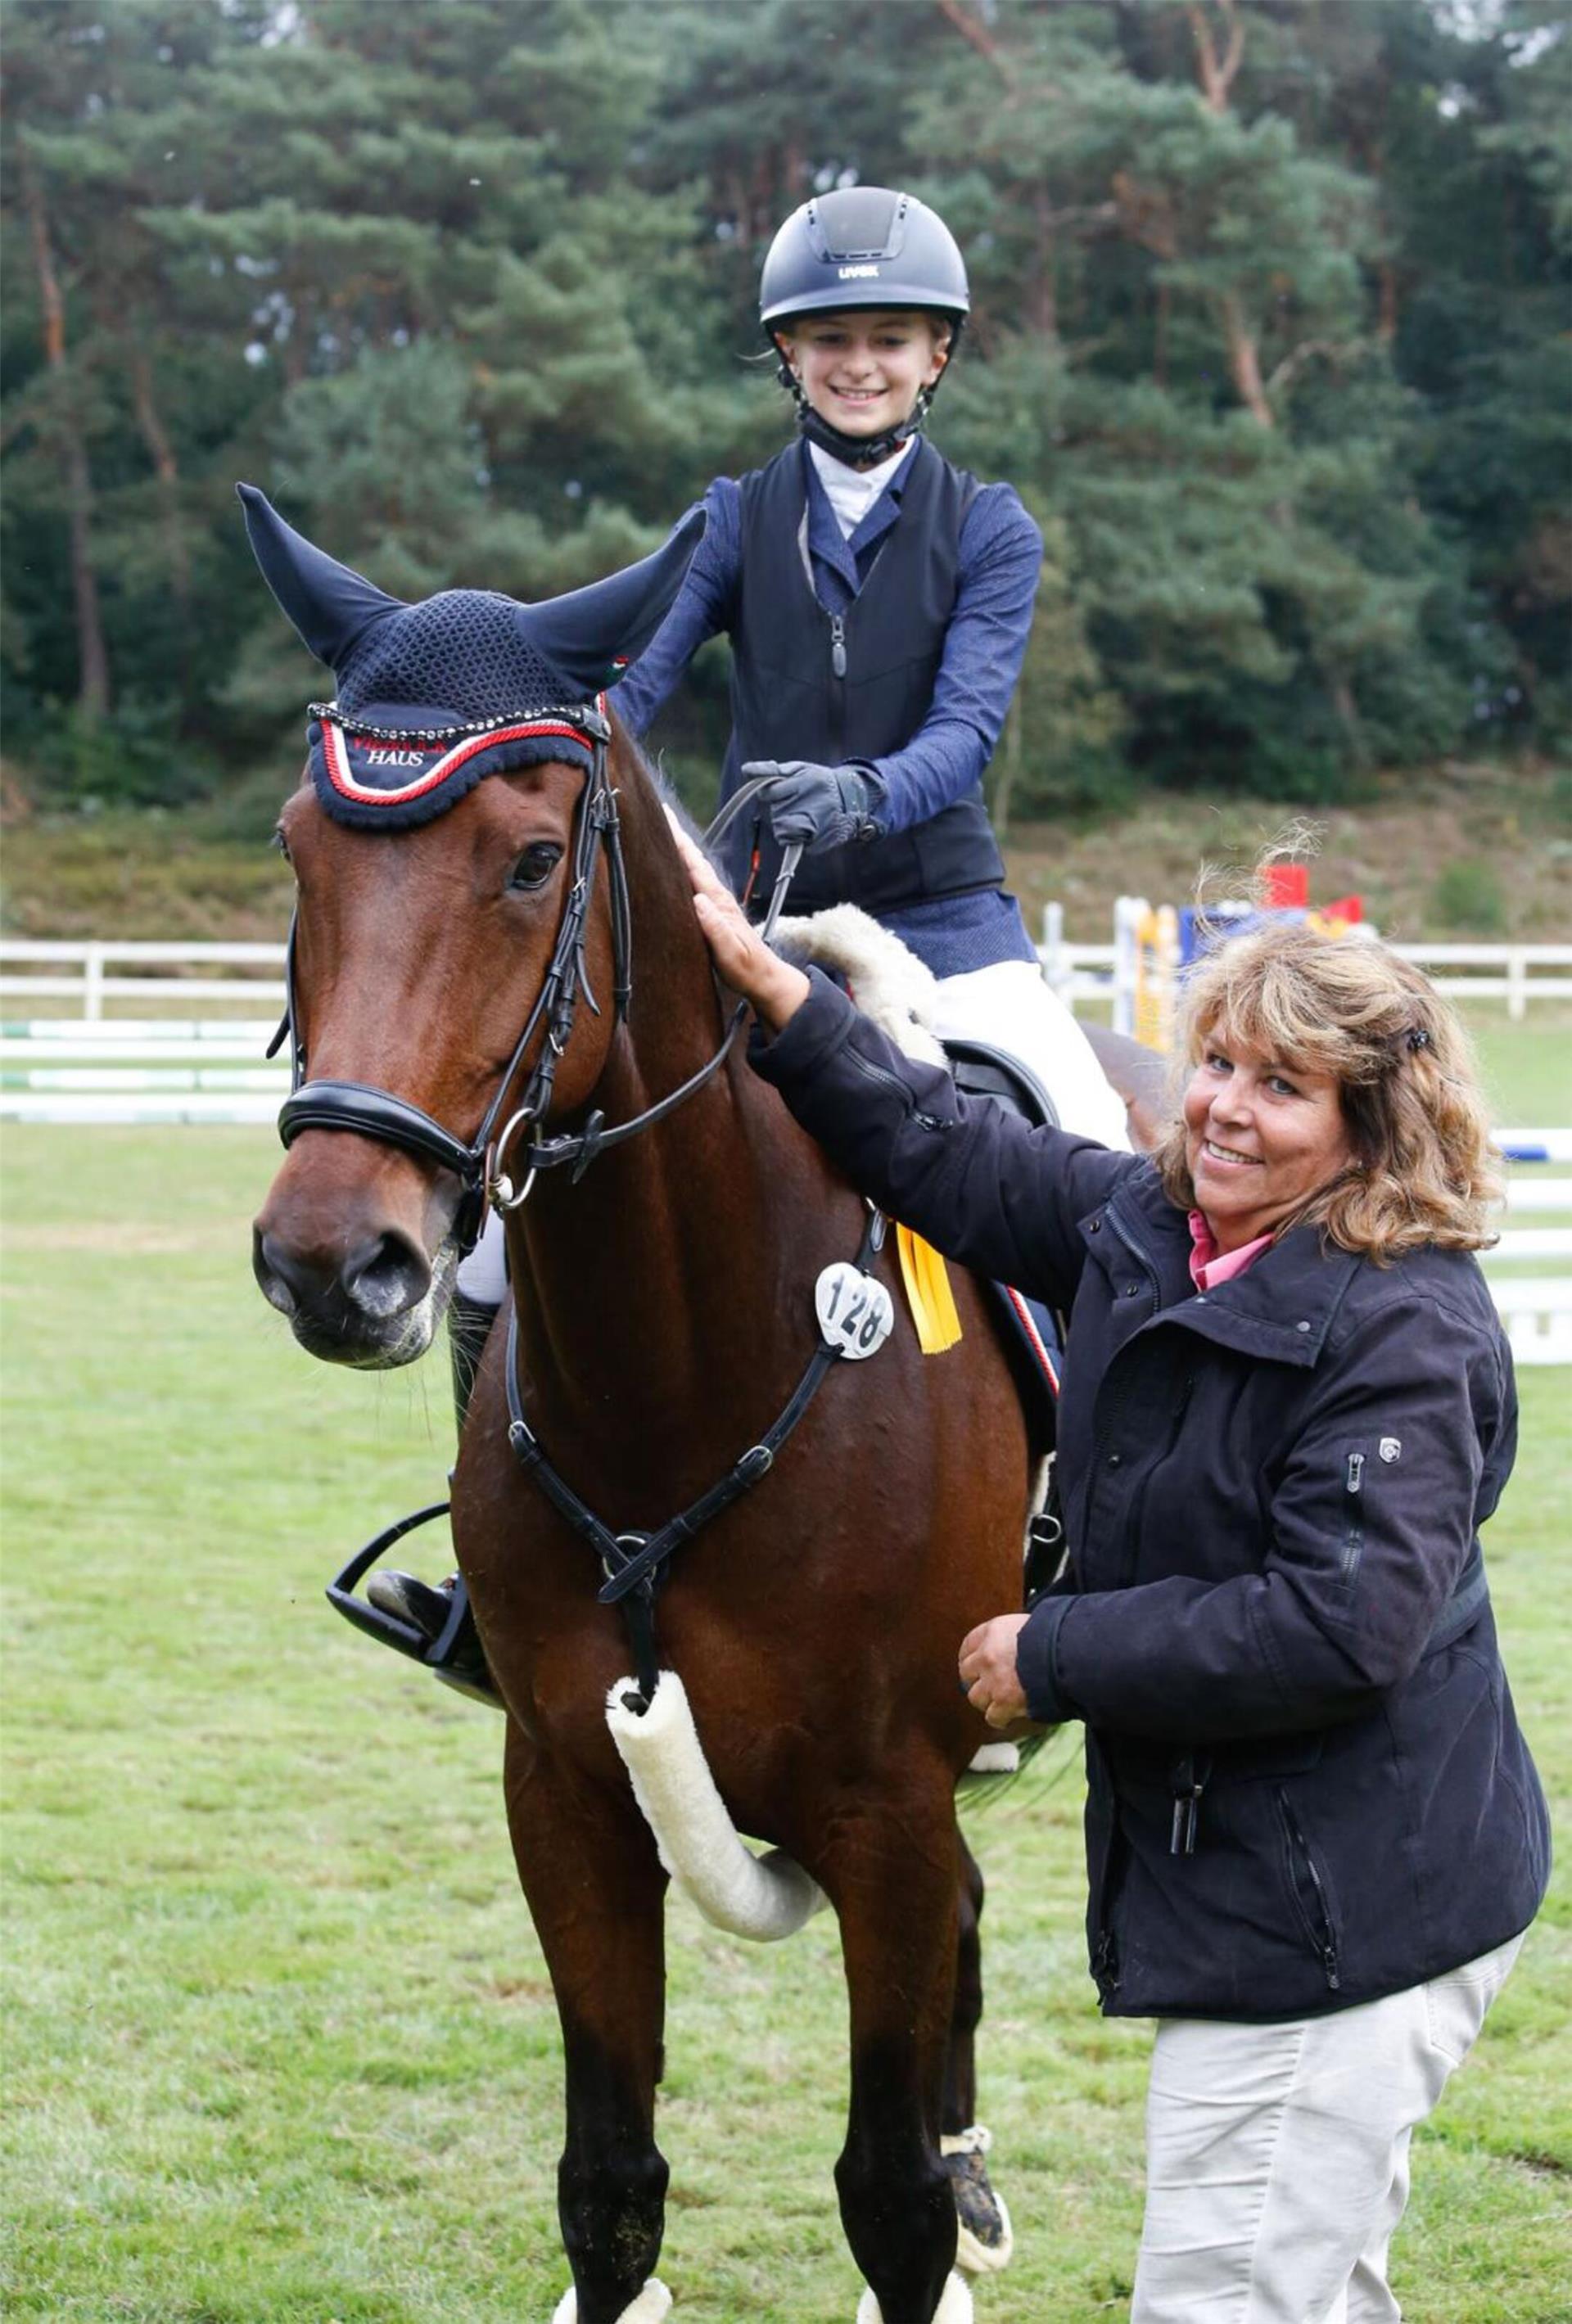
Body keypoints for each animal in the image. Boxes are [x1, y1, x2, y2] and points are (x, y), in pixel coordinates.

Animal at [245, 481, 1050, 2314]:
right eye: (298, 850)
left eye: (534, 860)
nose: (334, 1263)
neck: (689, 1370)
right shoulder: (563, 1792)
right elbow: (609, 2186)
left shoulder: (887, 1806)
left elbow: (887, 2200)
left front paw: (935, 2205)